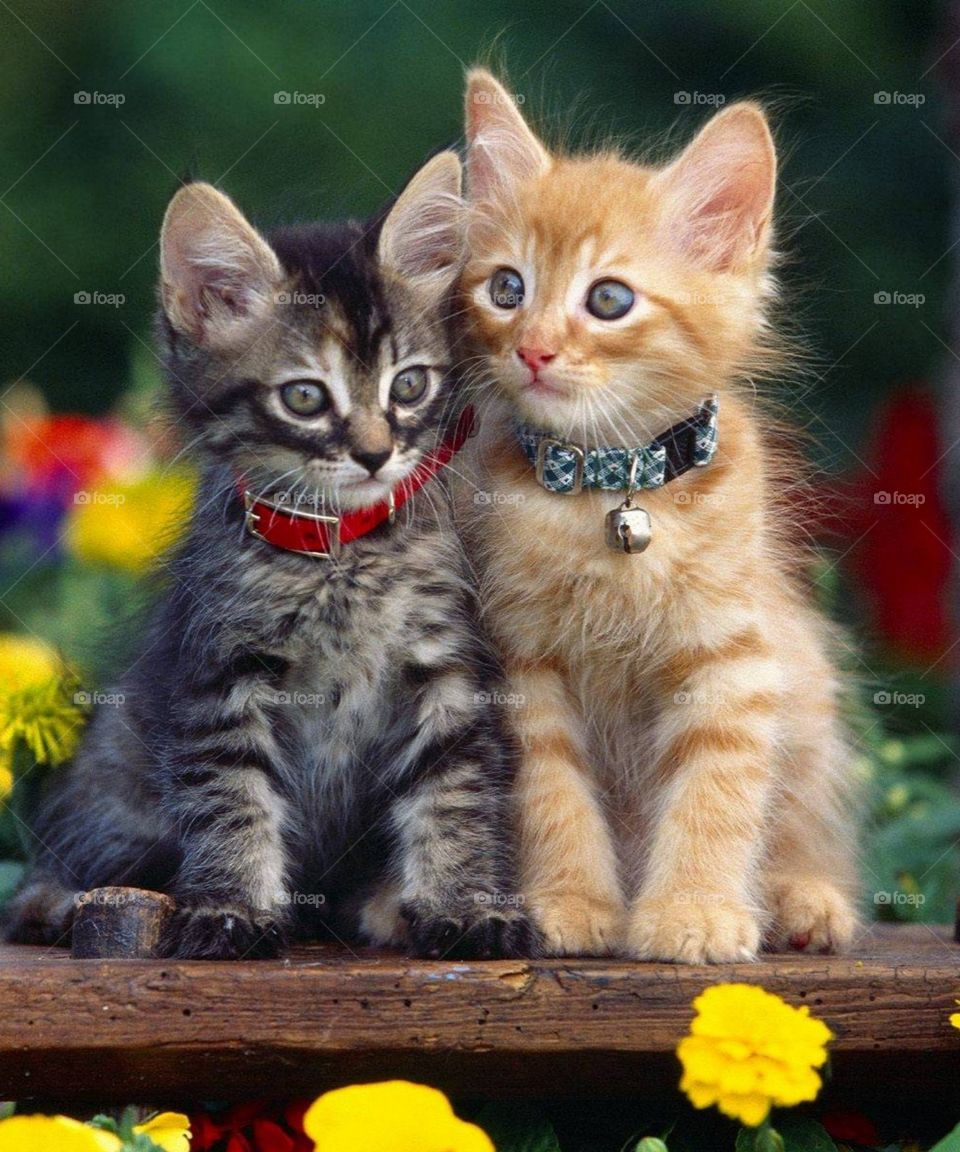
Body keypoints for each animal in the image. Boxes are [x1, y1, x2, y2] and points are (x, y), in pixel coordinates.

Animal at [3, 153, 534, 963]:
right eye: (306, 398)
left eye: (409, 384)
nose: (376, 454)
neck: (341, 556)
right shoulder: (218, 676)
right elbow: (233, 798)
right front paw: (235, 909)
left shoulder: (446, 670)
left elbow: (455, 795)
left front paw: (464, 904)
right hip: (115, 778)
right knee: (50, 878)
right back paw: (67, 902)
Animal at [454, 72, 857, 963]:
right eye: (507, 289)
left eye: (608, 299)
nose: (533, 349)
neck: (613, 493)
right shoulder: (522, 665)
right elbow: (550, 789)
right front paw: (569, 902)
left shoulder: (733, 659)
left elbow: (718, 792)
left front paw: (694, 911)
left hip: (808, 696)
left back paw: (803, 896)